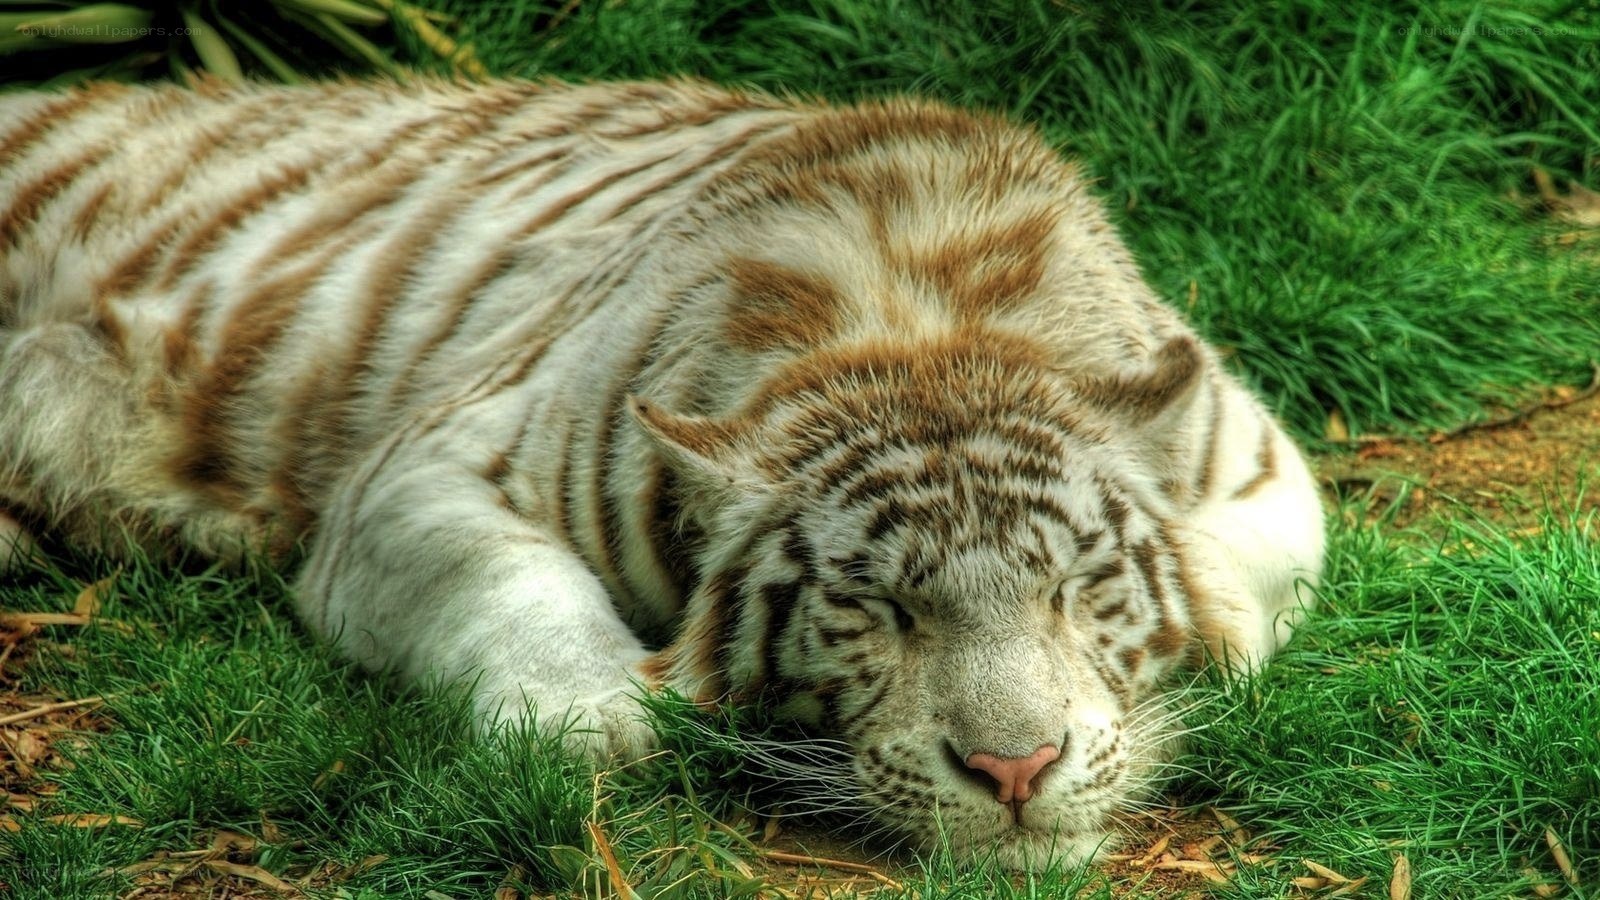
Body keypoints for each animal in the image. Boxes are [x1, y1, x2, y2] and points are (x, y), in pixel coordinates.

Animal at [0, 76, 1325, 869]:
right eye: (878, 609)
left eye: (1071, 590)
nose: (1014, 770)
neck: (917, 326)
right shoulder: (431, 467)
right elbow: (506, 583)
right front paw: (591, 725)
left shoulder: (1260, 456)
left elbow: (1231, 579)